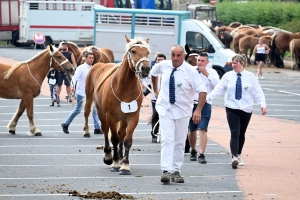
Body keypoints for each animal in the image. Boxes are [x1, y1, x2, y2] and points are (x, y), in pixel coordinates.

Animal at [84, 36, 150, 175]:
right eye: (133, 51)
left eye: (148, 52)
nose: (146, 69)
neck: (124, 87)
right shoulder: (111, 117)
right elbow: (114, 138)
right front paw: (114, 163)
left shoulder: (132, 117)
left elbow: (126, 140)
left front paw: (124, 165)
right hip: (101, 112)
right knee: (105, 131)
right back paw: (109, 156)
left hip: (123, 119)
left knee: (121, 135)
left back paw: (119, 157)